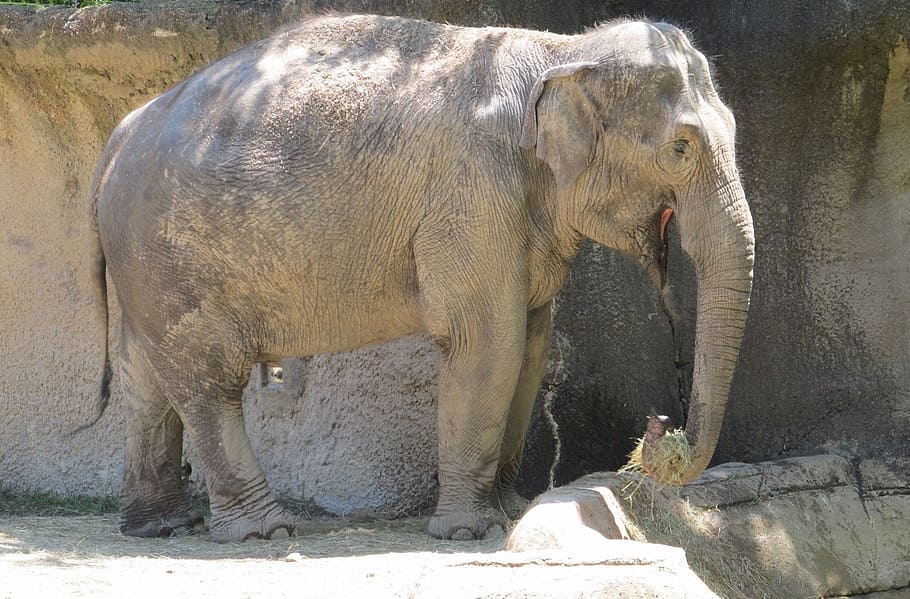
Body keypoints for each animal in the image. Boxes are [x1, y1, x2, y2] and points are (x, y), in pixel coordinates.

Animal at [86, 13, 754, 542]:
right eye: (681, 148)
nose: (659, 428)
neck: (560, 51)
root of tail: (118, 136)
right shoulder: (471, 192)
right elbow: (488, 340)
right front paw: (469, 531)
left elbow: (531, 342)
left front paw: (510, 509)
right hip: (170, 256)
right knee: (206, 379)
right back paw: (261, 531)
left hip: (146, 265)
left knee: (147, 378)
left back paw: (160, 527)